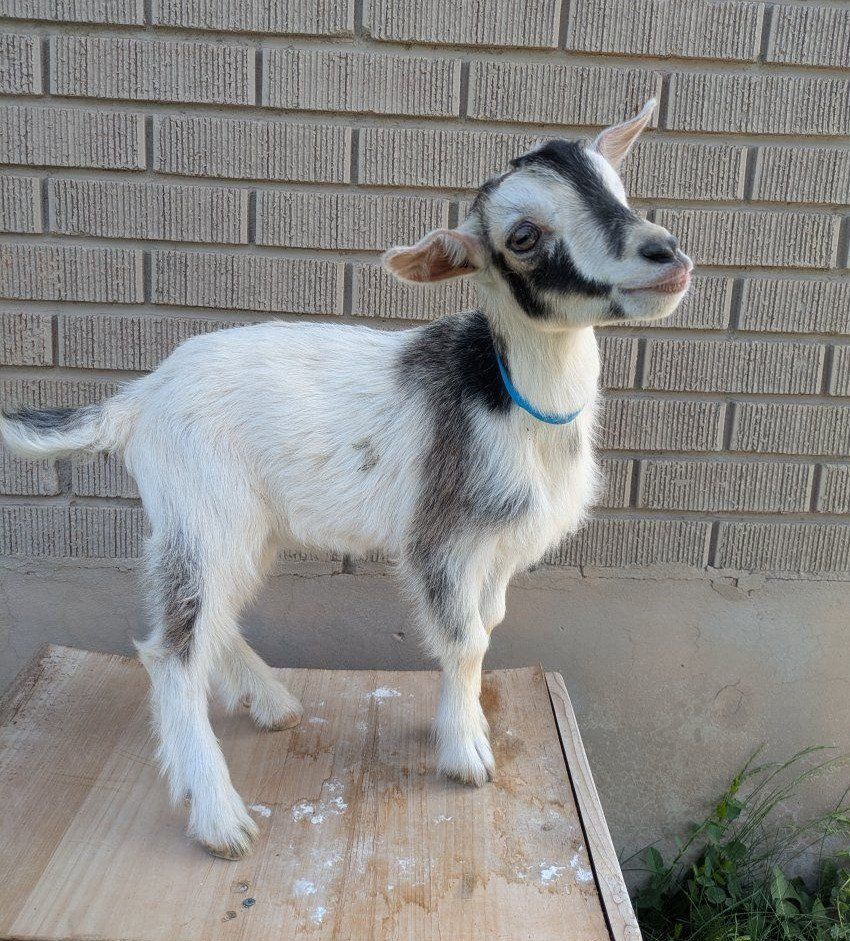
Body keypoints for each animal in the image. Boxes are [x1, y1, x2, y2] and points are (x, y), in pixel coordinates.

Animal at [1, 99, 692, 859]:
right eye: (523, 235)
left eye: (617, 189)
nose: (665, 253)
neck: (512, 398)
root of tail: (138, 399)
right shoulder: (442, 538)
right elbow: (465, 639)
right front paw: (466, 755)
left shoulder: (500, 549)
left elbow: (488, 625)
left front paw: (467, 725)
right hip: (205, 511)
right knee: (173, 650)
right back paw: (219, 817)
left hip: (238, 526)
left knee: (213, 616)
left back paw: (272, 703)